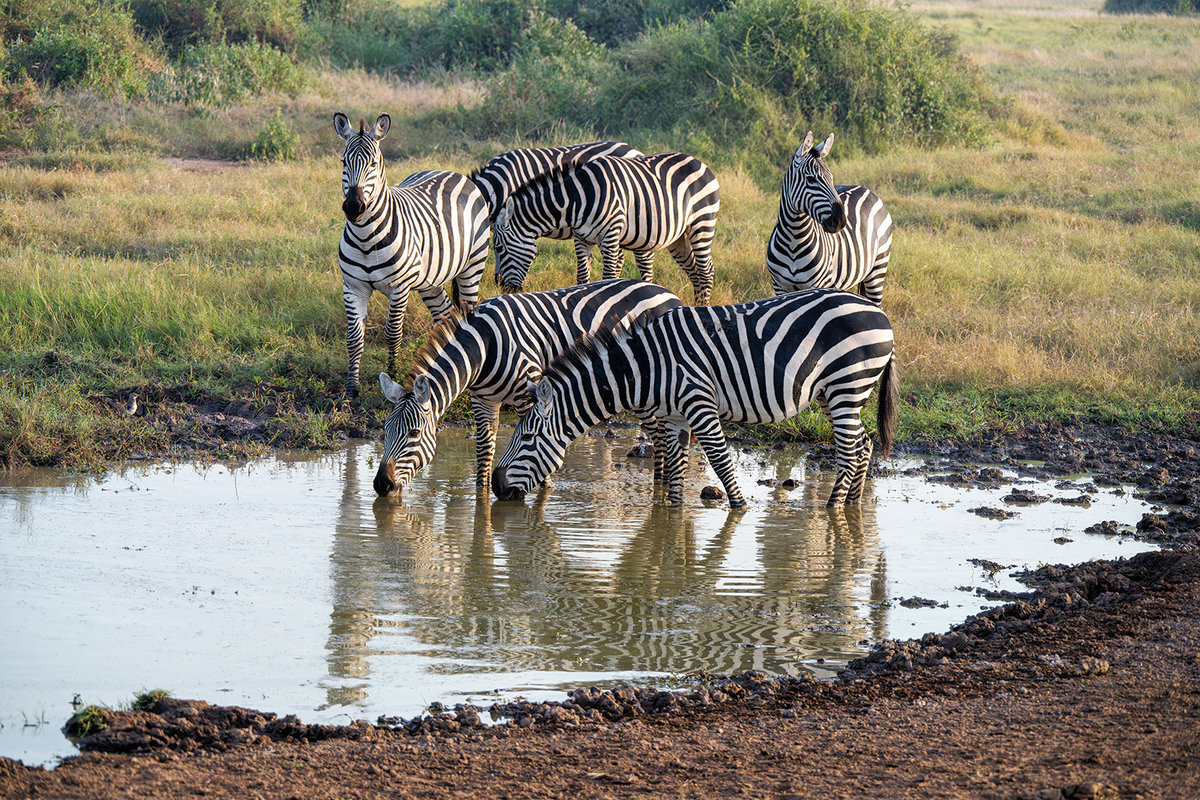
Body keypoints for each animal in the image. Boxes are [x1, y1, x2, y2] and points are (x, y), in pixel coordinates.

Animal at [334, 111, 490, 397]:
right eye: (343, 161)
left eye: (374, 163)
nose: (353, 206)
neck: (365, 237)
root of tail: (450, 172)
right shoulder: (353, 286)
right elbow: (354, 338)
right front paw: (351, 388)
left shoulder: (399, 288)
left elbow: (392, 333)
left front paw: (392, 375)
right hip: (431, 279)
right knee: (444, 314)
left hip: (473, 265)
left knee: (468, 308)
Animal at [372, 279, 682, 496]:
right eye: (385, 431)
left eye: (413, 433)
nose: (380, 485)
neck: (484, 346)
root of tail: (668, 293)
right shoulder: (482, 400)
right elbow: (484, 449)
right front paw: (482, 495)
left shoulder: (528, 392)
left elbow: (536, 439)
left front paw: (543, 488)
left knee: (661, 437)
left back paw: (661, 489)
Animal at [491, 288, 898, 509]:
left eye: (527, 438)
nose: (495, 487)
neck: (648, 365)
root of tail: (878, 311)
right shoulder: (674, 416)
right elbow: (675, 465)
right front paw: (669, 516)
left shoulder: (698, 402)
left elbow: (720, 461)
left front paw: (739, 508)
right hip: (835, 391)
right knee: (863, 444)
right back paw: (851, 505)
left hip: (847, 383)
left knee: (851, 449)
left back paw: (832, 507)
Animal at [492, 152, 720, 305]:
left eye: (499, 248)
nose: (502, 288)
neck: (576, 198)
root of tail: (698, 161)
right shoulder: (580, 238)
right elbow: (582, 277)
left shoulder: (610, 234)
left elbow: (608, 277)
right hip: (678, 238)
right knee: (693, 270)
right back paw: (695, 306)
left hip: (701, 224)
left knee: (706, 270)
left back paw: (702, 307)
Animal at [765, 131, 893, 305]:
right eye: (811, 179)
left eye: (831, 178)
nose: (840, 221)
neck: (793, 239)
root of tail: (865, 189)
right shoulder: (779, 286)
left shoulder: (819, 285)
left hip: (878, 267)